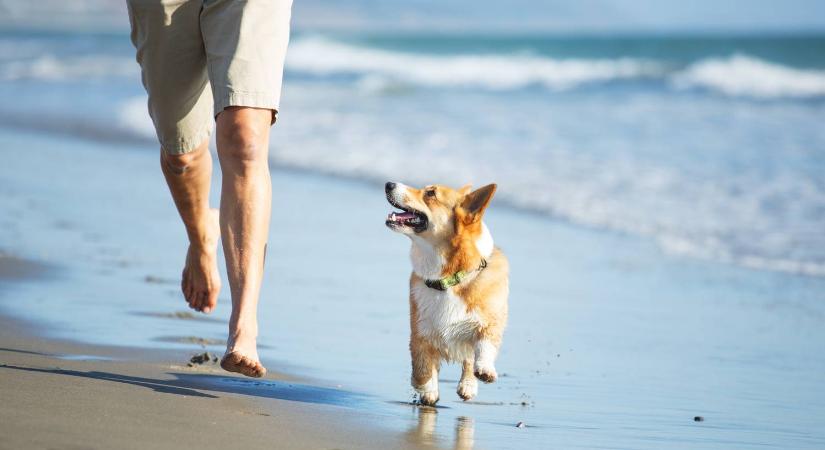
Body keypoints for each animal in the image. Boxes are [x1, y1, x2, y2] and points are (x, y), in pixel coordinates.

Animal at [384, 181, 506, 406]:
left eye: (431, 193)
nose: (389, 183)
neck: (448, 280)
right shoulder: (420, 332)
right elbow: (422, 368)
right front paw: (427, 388)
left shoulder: (488, 323)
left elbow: (482, 347)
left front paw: (482, 373)